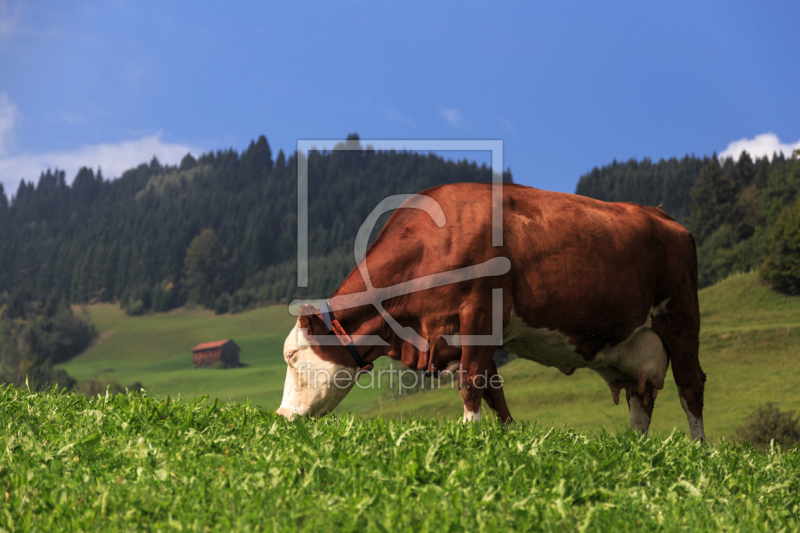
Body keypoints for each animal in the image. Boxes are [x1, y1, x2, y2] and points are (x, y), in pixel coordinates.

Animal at [276, 181, 708, 438]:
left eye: (292, 355)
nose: (280, 417)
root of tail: (661, 215)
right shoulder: (461, 334)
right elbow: (493, 390)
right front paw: (505, 437)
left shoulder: (480, 311)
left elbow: (471, 383)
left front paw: (469, 436)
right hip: (637, 346)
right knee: (641, 399)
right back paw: (636, 448)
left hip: (681, 317)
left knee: (691, 385)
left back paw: (698, 448)